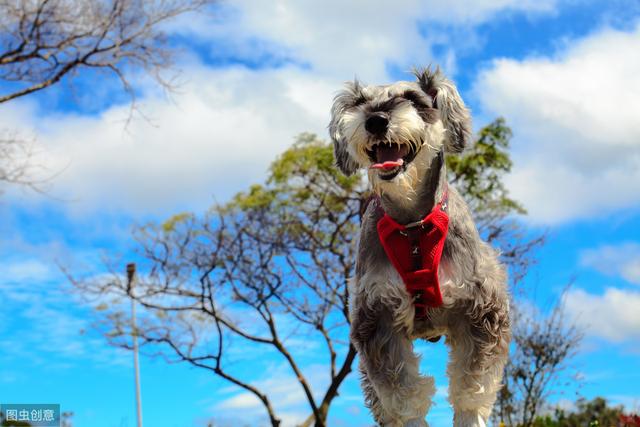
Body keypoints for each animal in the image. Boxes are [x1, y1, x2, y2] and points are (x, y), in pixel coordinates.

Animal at [330, 68, 510, 426]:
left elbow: (472, 386)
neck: (412, 226)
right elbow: (403, 394)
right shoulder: (378, 319)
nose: (375, 120)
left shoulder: (480, 310)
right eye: (359, 102)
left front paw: (470, 415)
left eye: (413, 99)